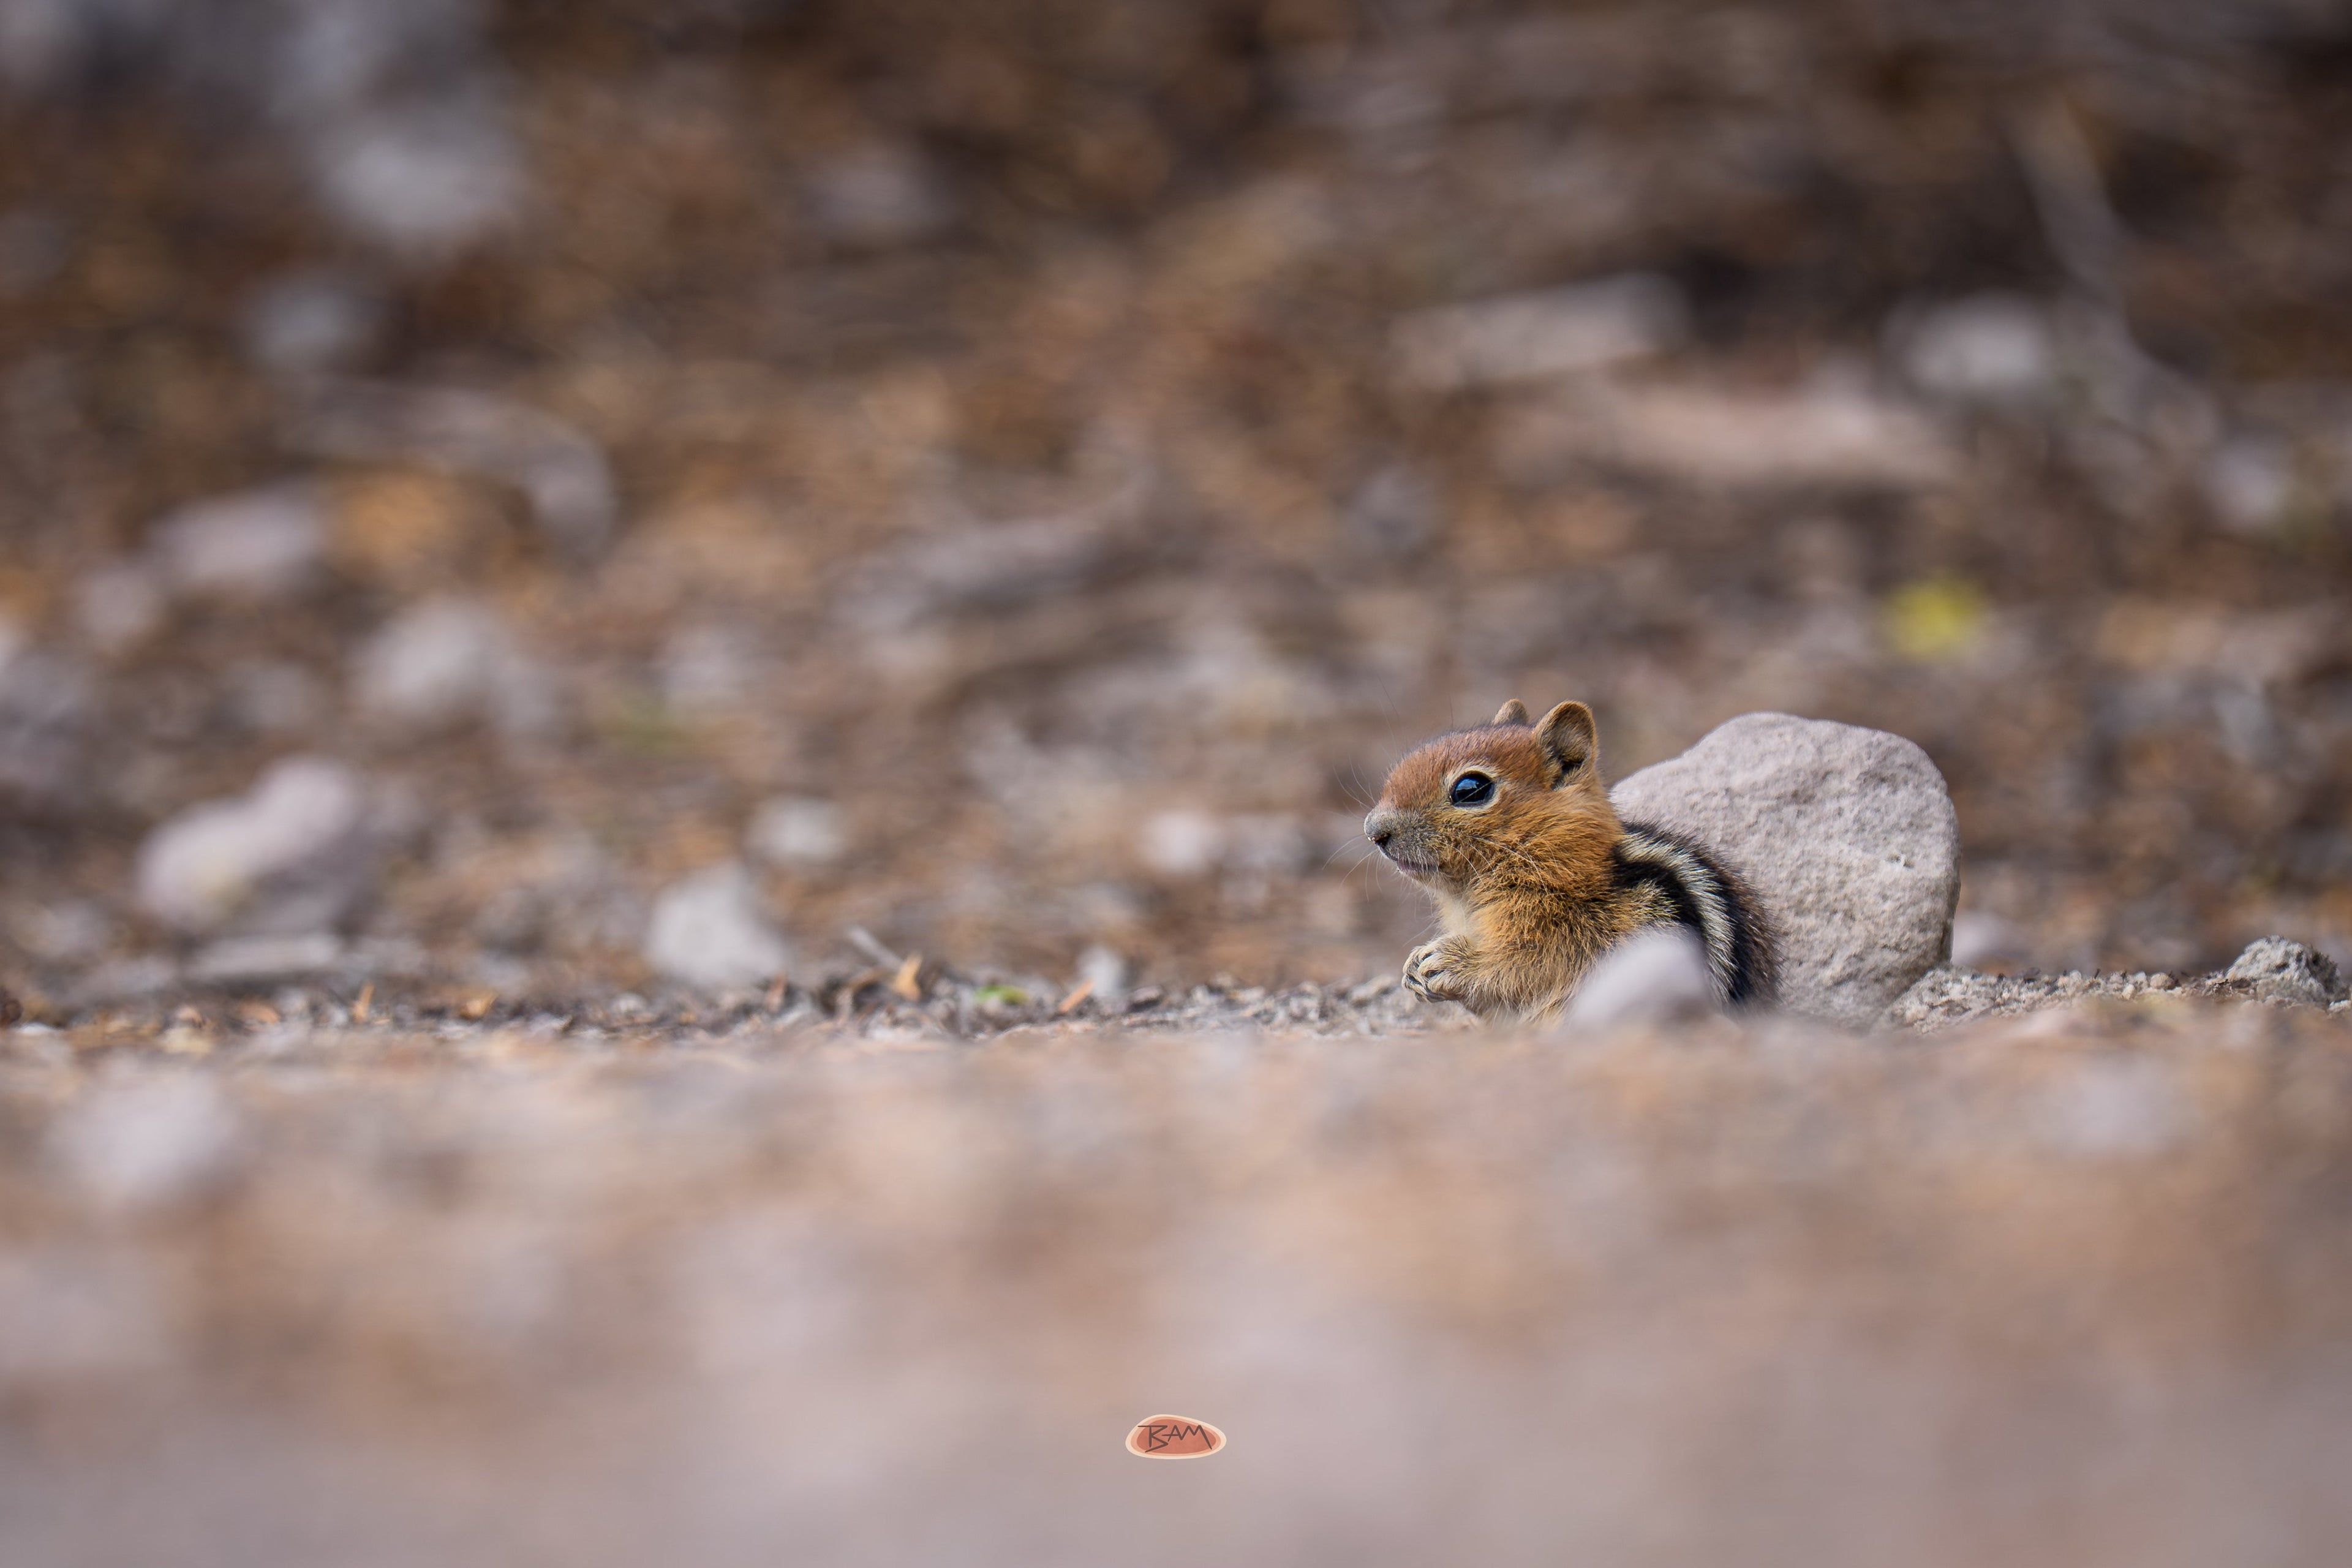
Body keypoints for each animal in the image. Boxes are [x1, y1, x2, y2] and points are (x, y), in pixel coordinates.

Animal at [1363, 699, 1778, 1023]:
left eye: (1471, 789)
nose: (1374, 831)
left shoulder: (1557, 939)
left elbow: (1516, 969)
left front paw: (1451, 962)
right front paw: (1415, 963)